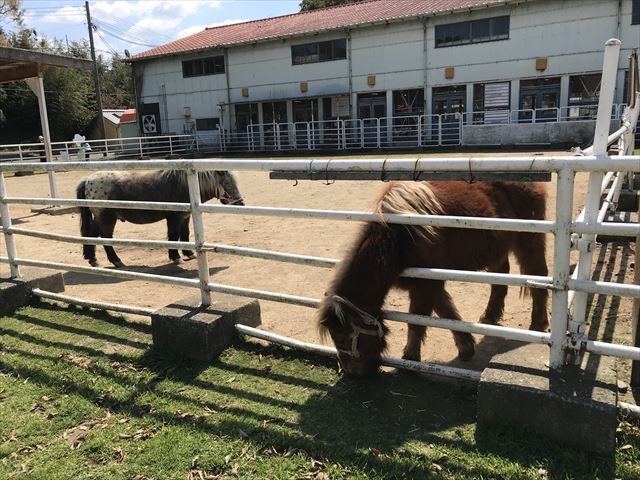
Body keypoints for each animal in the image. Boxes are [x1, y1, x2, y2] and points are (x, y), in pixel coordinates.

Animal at [75, 168, 245, 266]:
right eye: (228, 184)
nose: (241, 203)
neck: (186, 186)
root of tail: (88, 180)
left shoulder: (185, 217)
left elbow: (185, 234)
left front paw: (188, 254)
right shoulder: (174, 218)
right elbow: (173, 236)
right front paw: (175, 256)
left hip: (99, 218)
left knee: (91, 235)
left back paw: (92, 258)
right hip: (107, 218)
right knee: (105, 237)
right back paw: (116, 260)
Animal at [318, 180, 548, 376]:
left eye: (342, 337)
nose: (352, 374)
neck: (399, 239)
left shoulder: (427, 283)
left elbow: (417, 321)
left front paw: (410, 359)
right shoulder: (426, 284)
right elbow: (445, 310)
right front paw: (466, 347)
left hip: (529, 240)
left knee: (538, 275)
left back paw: (538, 324)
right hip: (496, 249)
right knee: (499, 277)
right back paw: (490, 316)